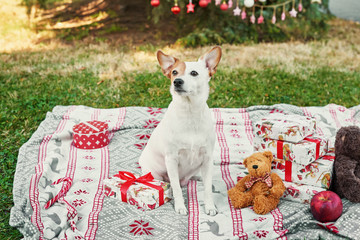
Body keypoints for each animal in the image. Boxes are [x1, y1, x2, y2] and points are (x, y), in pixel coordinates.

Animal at [139, 46, 221, 215]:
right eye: (174, 72)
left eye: (194, 73)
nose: (177, 81)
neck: (190, 113)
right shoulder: (171, 159)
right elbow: (176, 188)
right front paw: (180, 206)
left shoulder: (207, 158)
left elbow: (208, 189)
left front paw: (210, 206)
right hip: (156, 173)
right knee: (171, 183)